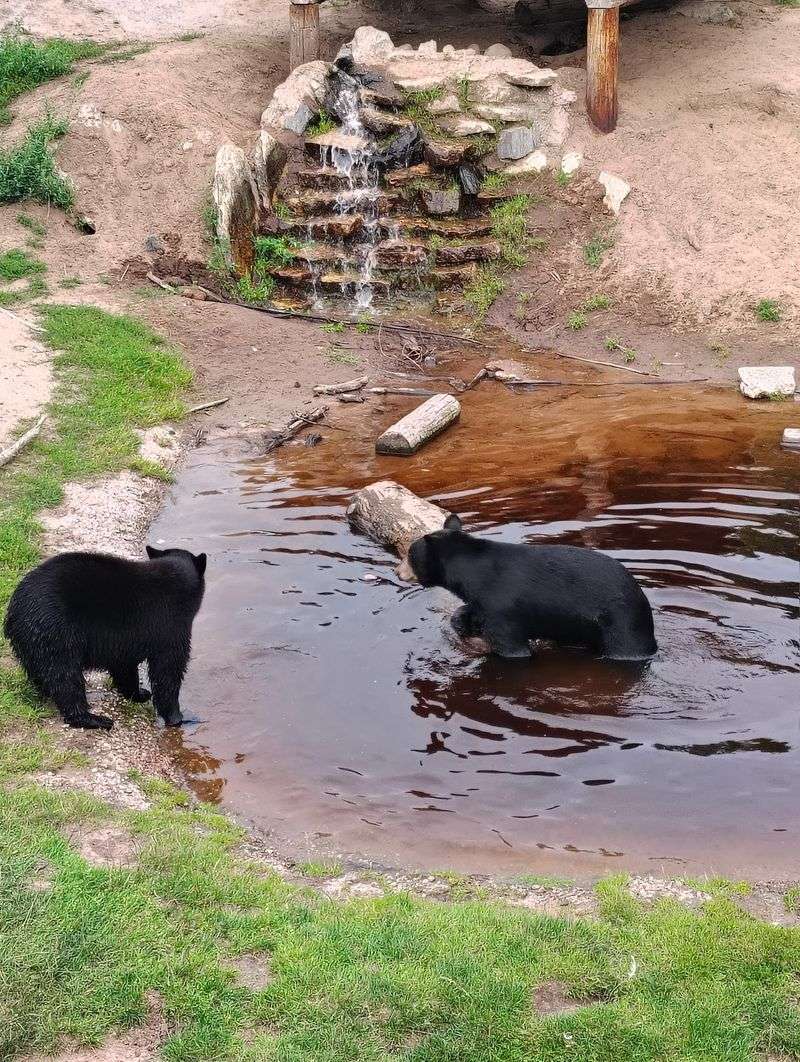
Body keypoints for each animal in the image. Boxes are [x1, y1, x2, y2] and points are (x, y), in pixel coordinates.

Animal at [3, 546, 206, 730]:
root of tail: (14, 609)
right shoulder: (169, 625)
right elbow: (168, 669)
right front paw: (177, 717)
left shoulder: (125, 639)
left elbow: (124, 665)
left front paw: (139, 693)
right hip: (57, 632)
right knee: (65, 676)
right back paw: (93, 719)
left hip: (33, 642)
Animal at [405, 514, 657, 661]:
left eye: (409, 556)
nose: (399, 571)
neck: (473, 573)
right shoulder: (484, 602)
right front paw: (461, 621)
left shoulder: (501, 603)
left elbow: (510, 646)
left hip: (621, 620)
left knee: (626, 646)